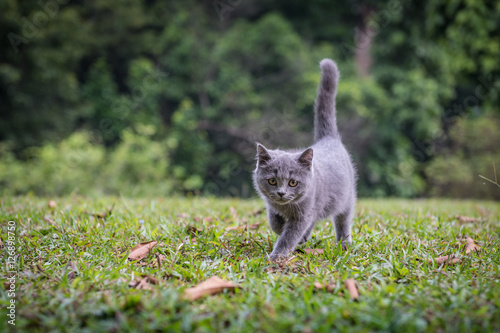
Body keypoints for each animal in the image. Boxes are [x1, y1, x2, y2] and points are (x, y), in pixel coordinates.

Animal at [254, 58, 356, 258]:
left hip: (346, 198)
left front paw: (277, 256)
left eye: (293, 182)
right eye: (272, 181)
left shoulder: (304, 214)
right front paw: (280, 227)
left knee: (343, 220)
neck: (286, 207)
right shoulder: (272, 206)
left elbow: (289, 235)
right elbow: (274, 222)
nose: (281, 193)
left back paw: (344, 243)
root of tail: (328, 138)